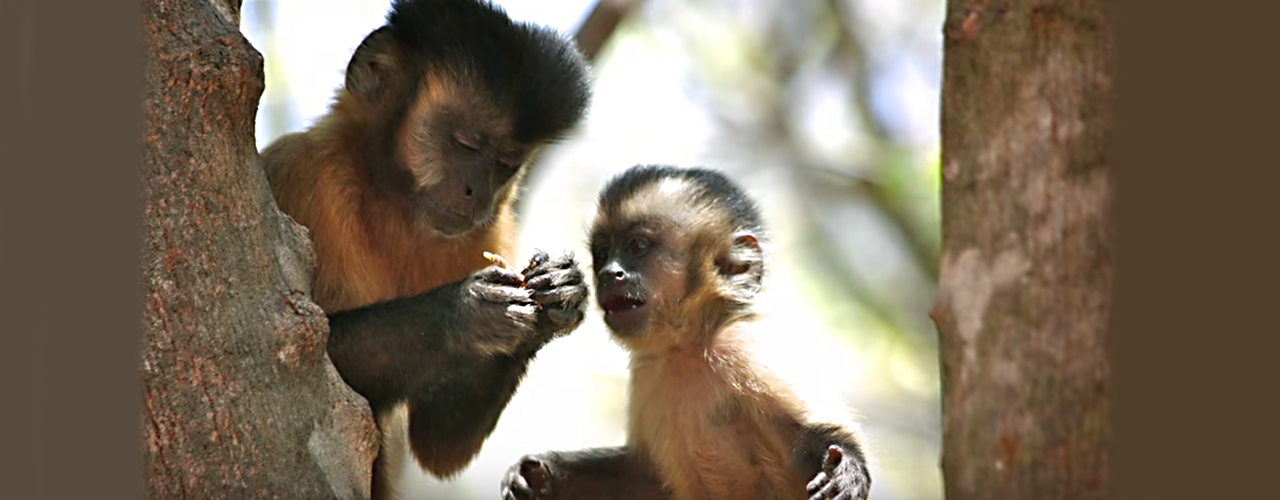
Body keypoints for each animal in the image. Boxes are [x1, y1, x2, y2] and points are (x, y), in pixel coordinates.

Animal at [261, 1, 599, 498]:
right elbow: (307, 354)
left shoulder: (491, 230)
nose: (476, 191)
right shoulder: (304, 173)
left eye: (506, 163)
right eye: (465, 143)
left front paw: (559, 289)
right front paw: (466, 310)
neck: (392, 198)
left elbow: (440, 445)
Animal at [499, 166, 870, 500]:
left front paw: (847, 469)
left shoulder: (745, 347)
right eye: (603, 254)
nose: (609, 274)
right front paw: (541, 474)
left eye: (638, 246)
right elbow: (644, 477)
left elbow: (811, 440)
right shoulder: (647, 368)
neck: (690, 344)